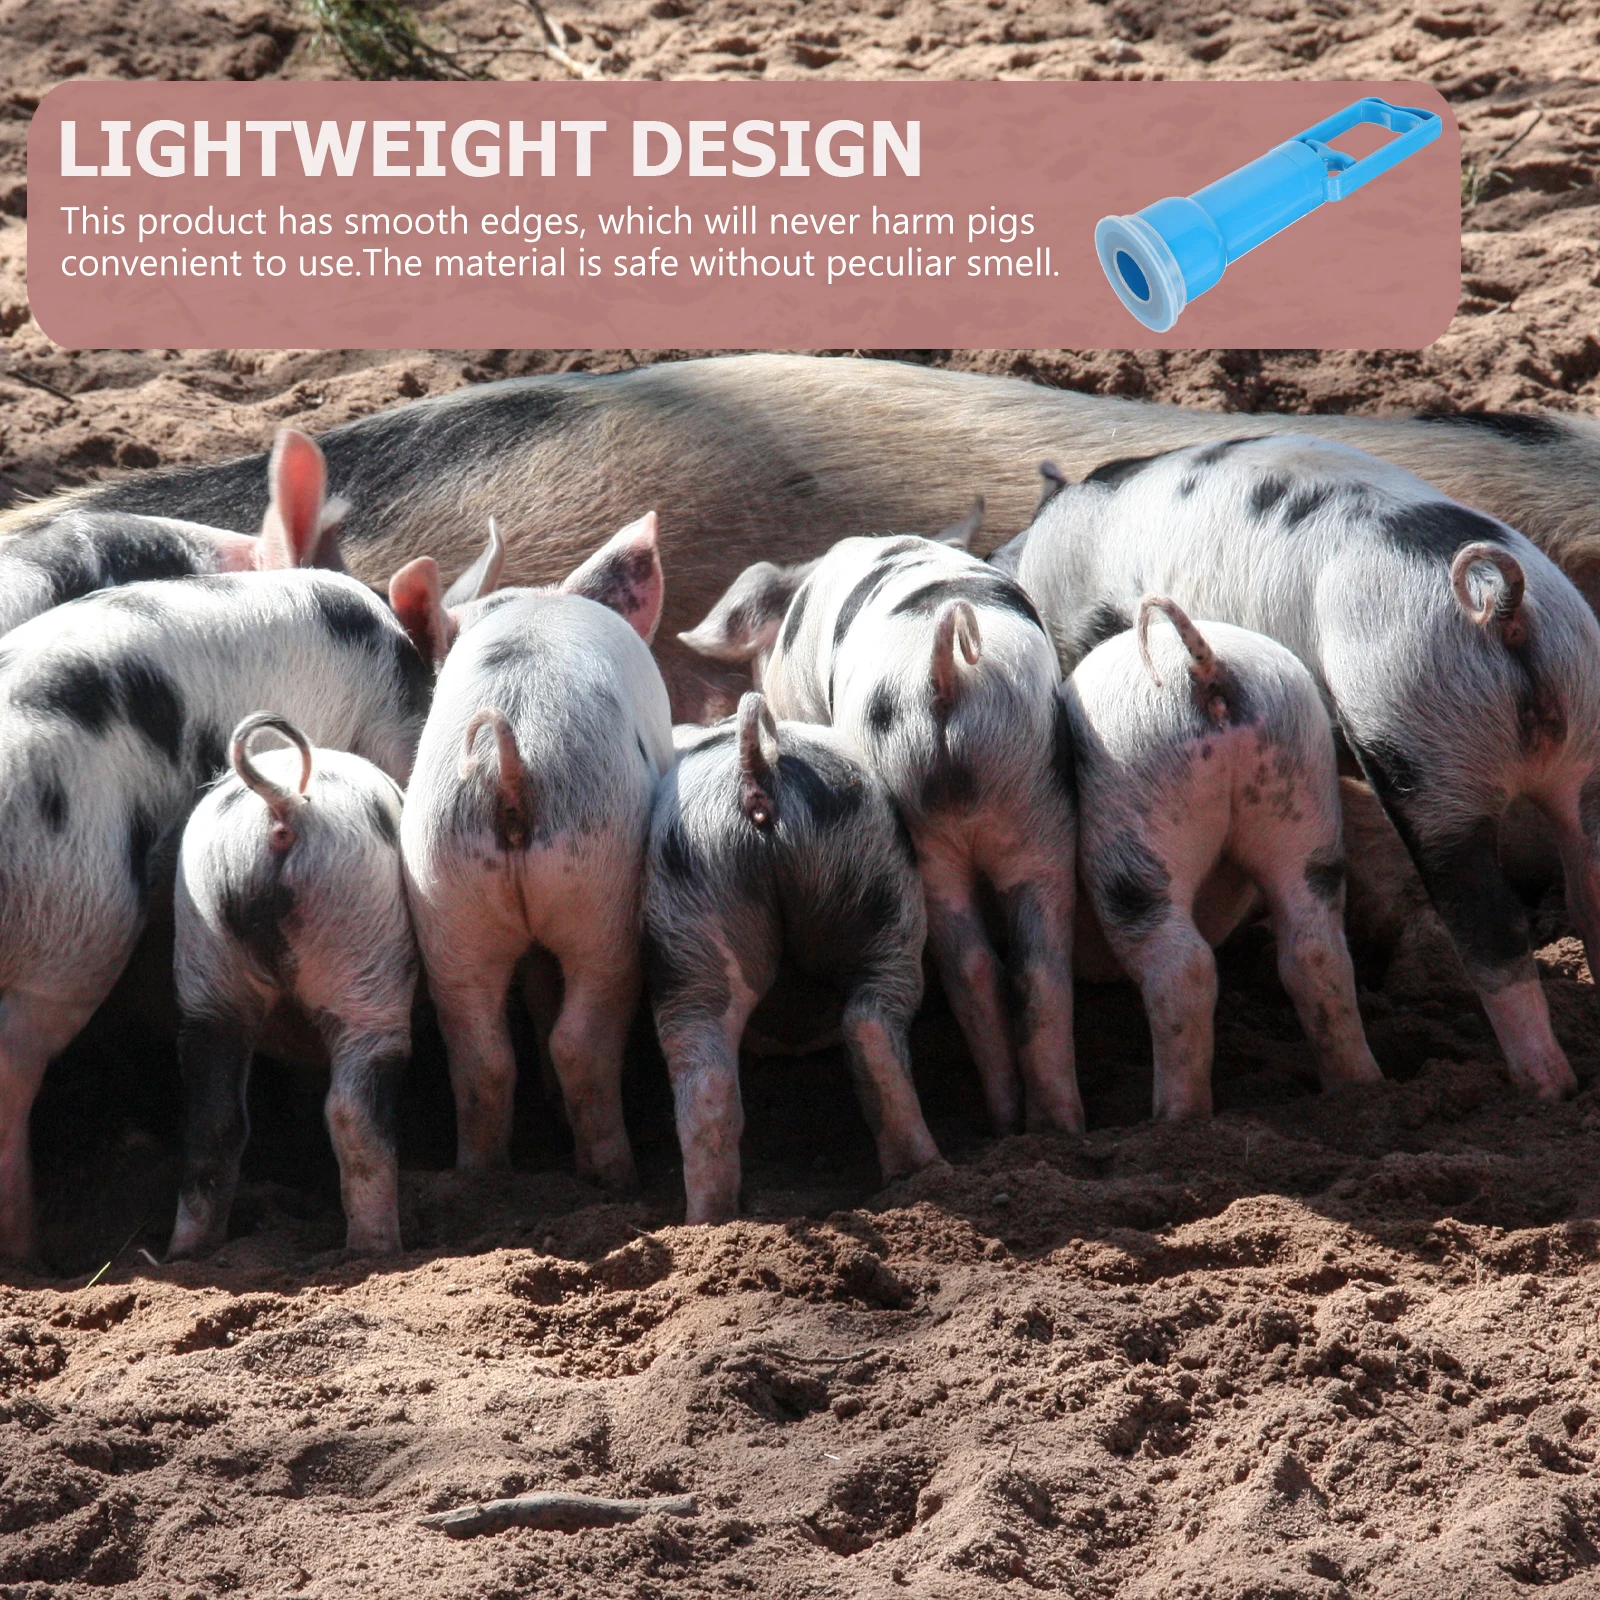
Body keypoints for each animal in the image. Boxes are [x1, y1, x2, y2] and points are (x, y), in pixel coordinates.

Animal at [168, 712, 415, 1260]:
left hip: (206, 963)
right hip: (362, 948)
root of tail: (281, 804)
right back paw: (379, 1249)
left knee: (212, 1120)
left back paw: (187, 1253)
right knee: (351, 1109)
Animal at [391, 514, 674, 1190]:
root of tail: (510, 759)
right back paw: (615, 1175)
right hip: (602, 880)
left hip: (444, 886)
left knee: (481, 1052)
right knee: (582, 1035)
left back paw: (479, 1177)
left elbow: (539, 987)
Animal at [645, 692, 940, 1222]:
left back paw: (708, 1221)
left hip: (694, 914)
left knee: (705, 1075)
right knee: (871, 1021)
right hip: (881, 894)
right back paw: (922, 1173)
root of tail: (758, 775)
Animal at [680, 529, 1078, 1136]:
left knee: (981, 965)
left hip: (946, 804)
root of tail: (948, 672)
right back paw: (1048, 1125)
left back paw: (1019, 1123)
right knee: (1029, 966)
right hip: (1030, 799)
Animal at [1065, 595, 1381, 1120]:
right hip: (1300, 789)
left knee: (1182, 965)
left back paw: (1175, 1118)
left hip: (1136, 805)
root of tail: (1208, 668)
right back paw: (1359, 1086)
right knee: (1317, 950)